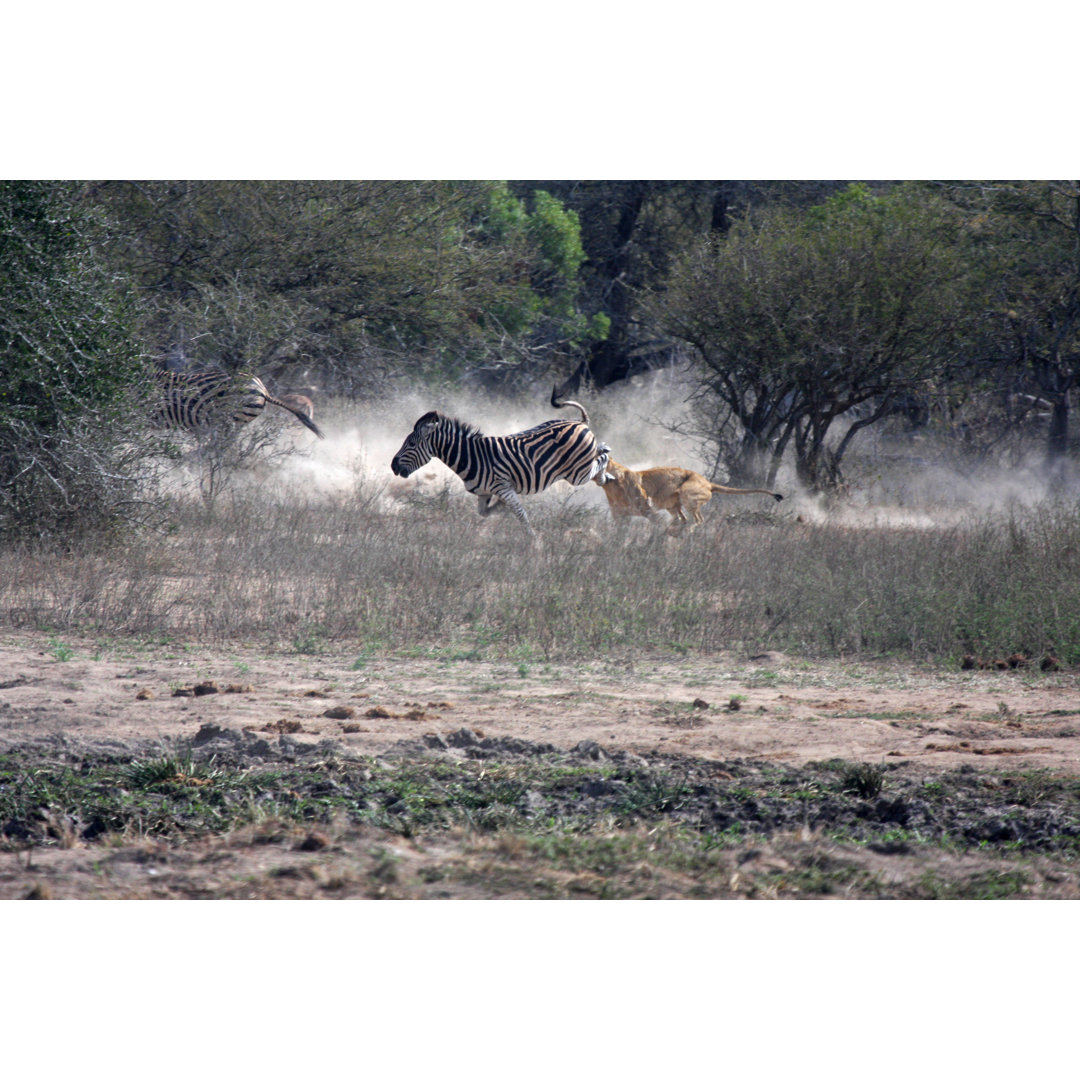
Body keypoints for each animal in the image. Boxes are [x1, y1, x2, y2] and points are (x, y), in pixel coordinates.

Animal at [388, 388, 613, 531]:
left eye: (411, 444)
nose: (393, 466)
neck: (469, 457)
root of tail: (578, 422)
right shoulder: (485, 492)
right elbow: (486, 513)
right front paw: (501, 509)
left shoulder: (502, 487)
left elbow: (521, 515)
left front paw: (534, 543)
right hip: (578, 468)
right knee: (599, 453)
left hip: (576, 474)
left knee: (602, 456)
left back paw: (605, 474)